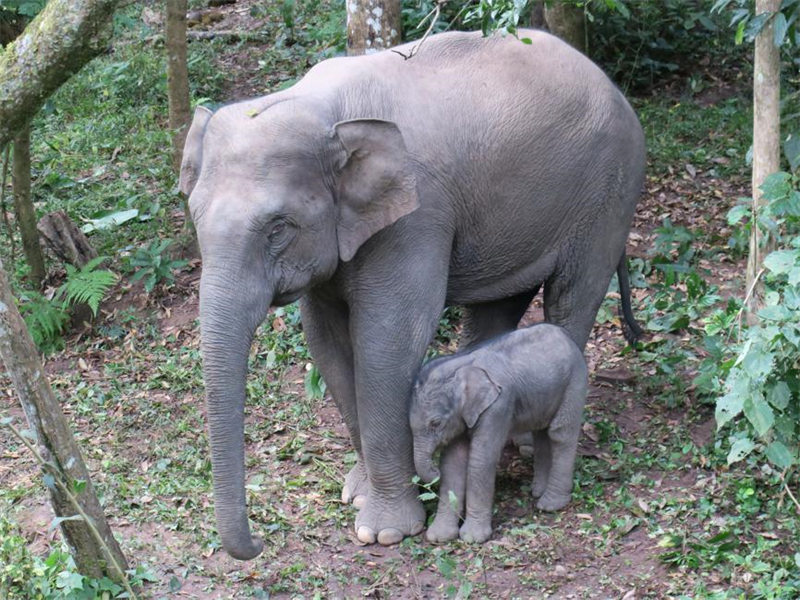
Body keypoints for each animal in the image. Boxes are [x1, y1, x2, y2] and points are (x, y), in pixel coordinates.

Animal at [412, 324, 588, 544]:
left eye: (436, 423)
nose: (434, 472)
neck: (462, 364)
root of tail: (564, 334)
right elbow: (453, 462)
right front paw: (439, 537)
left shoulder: (498, 406)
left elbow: (481, 459)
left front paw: (472, 538)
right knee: (542, 434)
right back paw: (538, 492)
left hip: (574, 381)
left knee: (560, 433)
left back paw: (550, 504)